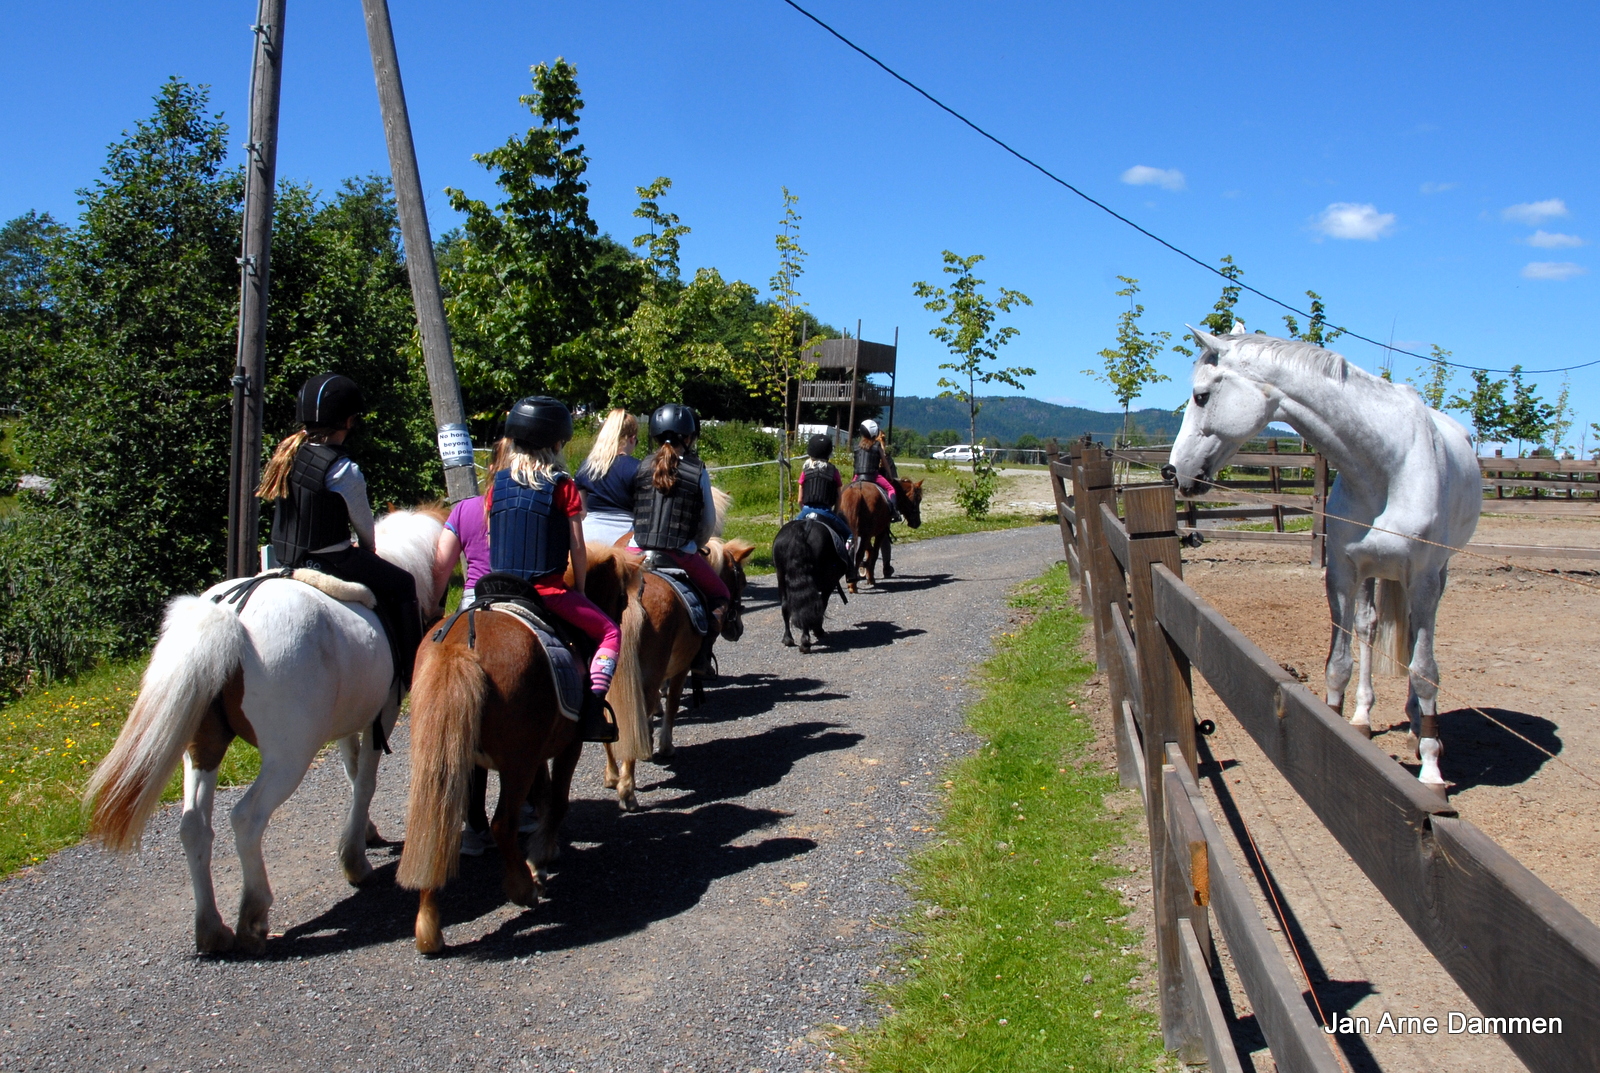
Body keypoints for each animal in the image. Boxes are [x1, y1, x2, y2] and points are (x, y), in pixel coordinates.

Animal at [84, 508, 441, 953]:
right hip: (288, 758)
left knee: (194, 827)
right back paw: (252, 917)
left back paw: (211, 929)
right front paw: (355, 858)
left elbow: (352, 770)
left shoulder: (349, 720)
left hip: (203, 750)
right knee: (246, 818)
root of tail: (229, 615)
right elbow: (365, 782)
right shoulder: (384, 714)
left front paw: (364, 833)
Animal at [395, 546, 649, 959]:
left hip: (445, 759)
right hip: (516, 764)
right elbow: (556, 801)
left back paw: (428, 927)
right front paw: (541, 858)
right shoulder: (566, 745)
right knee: (501, 824)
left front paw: (543, 852)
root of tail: (460, 646)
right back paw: (522, 889)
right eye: (620, 596)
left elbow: (543, 799)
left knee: (435, 829)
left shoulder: (536, 753)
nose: (619, 621)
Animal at [601, 540, 755, 809]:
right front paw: (664, 747)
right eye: (742, 582)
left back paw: (612, 775)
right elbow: (671, 704)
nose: (737, 629)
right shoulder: (681, 668)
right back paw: (627, 790)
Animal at [771, 518, 851, 655]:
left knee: (786, 607)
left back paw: (788, 639)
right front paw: (818, 630)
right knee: (806, 608)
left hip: (781, 578)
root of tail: (802, 530)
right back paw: (805, 643)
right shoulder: (828, 585)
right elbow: (823, 604)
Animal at [1171, 327, 1478, 789]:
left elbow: (1425, 672)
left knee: (1418, 644)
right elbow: (1339, 664)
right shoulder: (1342, 574)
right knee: (1369, 628)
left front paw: (1431, 770)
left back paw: (1419, 730)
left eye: (1202, 396)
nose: (1173, 471)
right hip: (1373, 575)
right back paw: (1364, 718)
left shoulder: (1423, 578)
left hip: (1433, 577)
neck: (1386, 467)